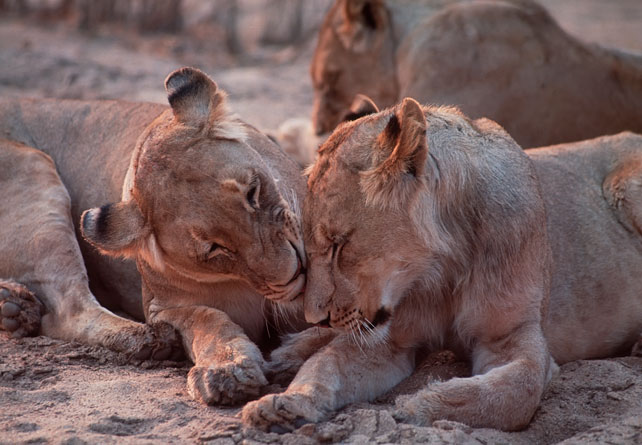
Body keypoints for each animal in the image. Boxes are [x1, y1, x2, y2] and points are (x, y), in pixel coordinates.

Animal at [0, 67, 308, 404]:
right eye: (214, 248)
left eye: (253, 192)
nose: (295, 273)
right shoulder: (163, 308)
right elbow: (207, 321)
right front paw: (227, 369)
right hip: (33, 172)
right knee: (68, 311)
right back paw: (150, 340)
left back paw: (15, 308)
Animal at [240, 97, 640, 430]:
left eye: (340, 244)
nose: (315, 317)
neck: (442, 270)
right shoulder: (390, 340)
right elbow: (325, 365)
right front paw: (288, 402)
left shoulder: (513, 334)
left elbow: (517, 392)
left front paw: (418, 405)